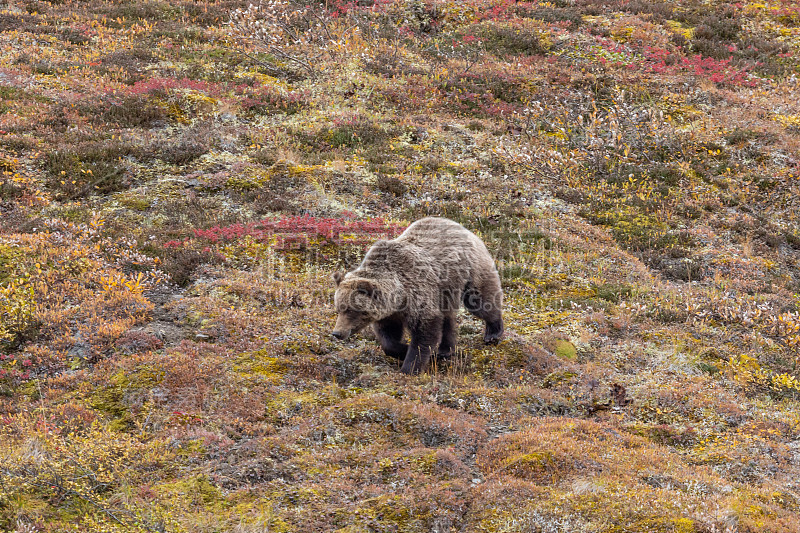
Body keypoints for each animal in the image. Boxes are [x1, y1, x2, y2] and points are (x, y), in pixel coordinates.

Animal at [330, 216, 504, 374]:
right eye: (338, 309)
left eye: (351, 310)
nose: (337, 333)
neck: (399, 296)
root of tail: (462, 227)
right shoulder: (389, 313)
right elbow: (388, 338)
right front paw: (402, 350)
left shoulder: (417, 293)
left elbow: (425, 331)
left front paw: (410, 367)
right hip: (444, 291)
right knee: (447, 318)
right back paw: (445, 350)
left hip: (469, 270)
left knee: (480, 300)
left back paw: (493, 333)